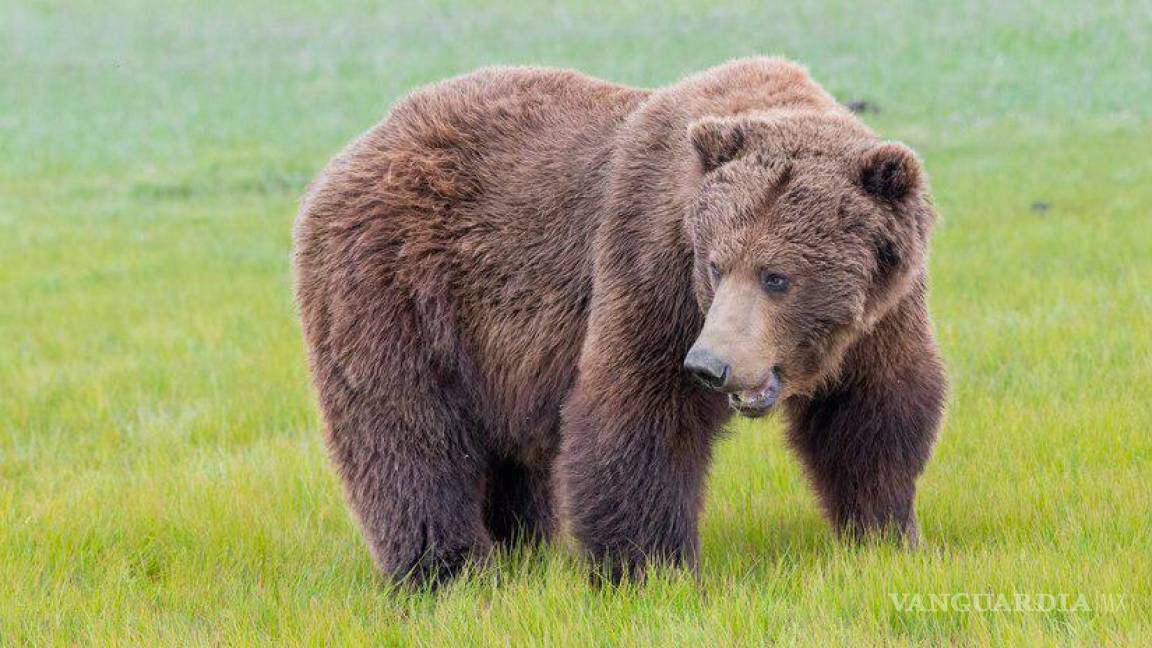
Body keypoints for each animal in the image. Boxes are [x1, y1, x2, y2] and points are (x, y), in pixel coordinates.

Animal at [294, 57, 944, 585]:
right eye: (716, 264)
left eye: (776, 276)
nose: (710, 365)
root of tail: (353, 150)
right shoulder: (653, 266)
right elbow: (637, 410)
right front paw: (650, 569)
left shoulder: (884, 312)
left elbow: (871, 413)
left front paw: (887, 534)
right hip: (397, 286)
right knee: (406, 430)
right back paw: (446, 568)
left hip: (489, 348)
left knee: (509, 455)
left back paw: (524, 550)